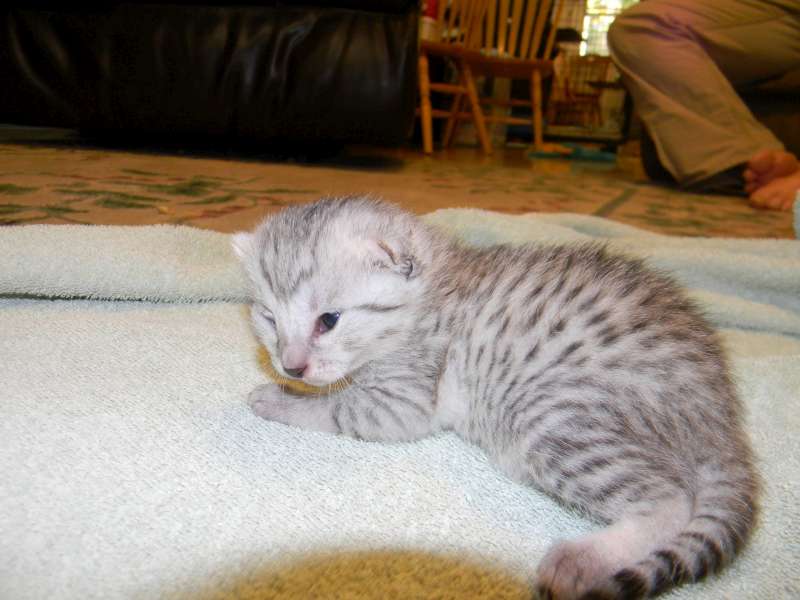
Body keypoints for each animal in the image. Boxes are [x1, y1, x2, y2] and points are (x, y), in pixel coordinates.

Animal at [232, 197, 758, 599]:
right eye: (269, 318)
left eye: (329, 320)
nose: (290, 365)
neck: (435, 292)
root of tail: (720, 409)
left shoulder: (403, 400)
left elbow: (334, 405)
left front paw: (278, 398)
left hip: (552, 418)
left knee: (672, 499)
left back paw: (580, 558)